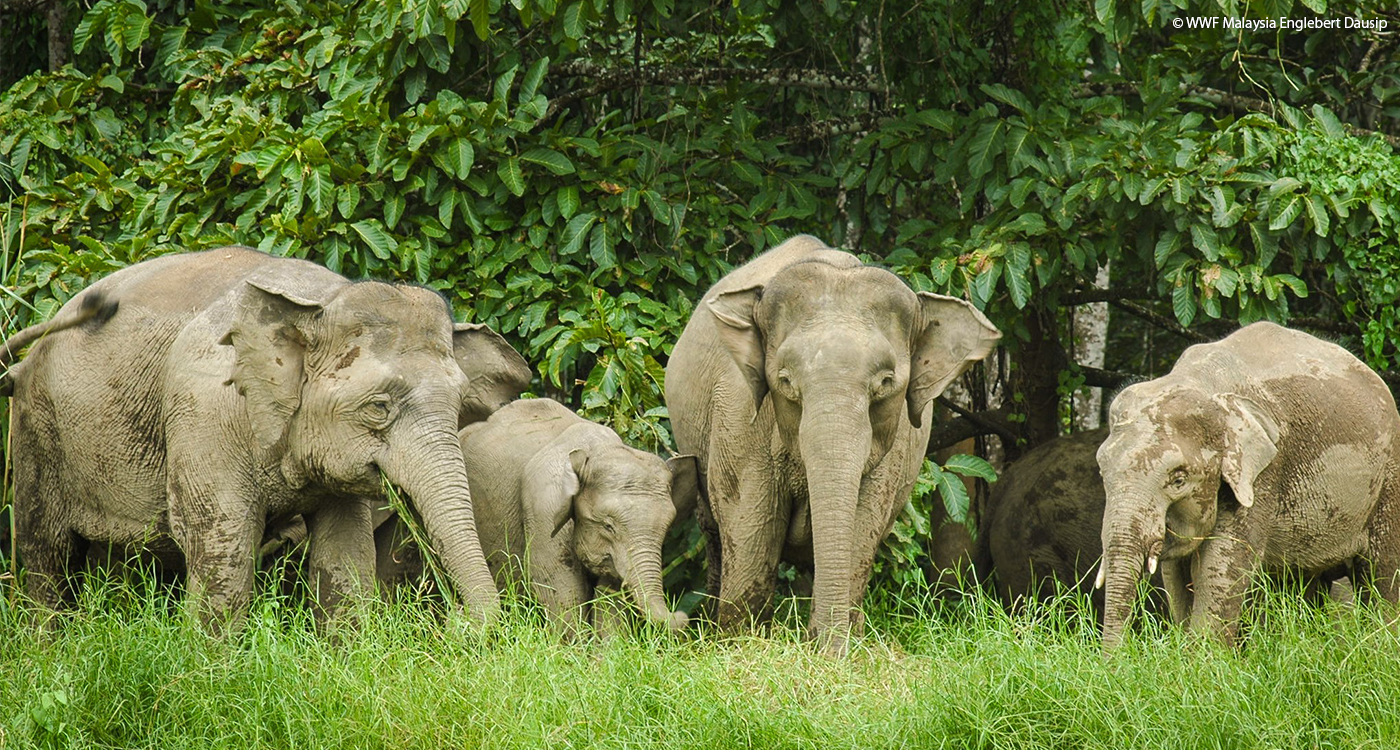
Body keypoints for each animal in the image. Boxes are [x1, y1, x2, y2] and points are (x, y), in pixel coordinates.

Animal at [4, 246, 529, 626]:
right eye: (379, 407)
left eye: (458, 408)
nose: (455, 619)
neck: (317, 303)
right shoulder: (205, 413)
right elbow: (224, 551)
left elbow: (345, 556)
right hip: (35, 429)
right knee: (46, 554)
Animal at [663, 235, 1002, 654]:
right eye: (785, 380)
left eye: (886, 382)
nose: (822, 643)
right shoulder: (740, 416)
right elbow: (749, 522)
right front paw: (741, 643)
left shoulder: (897, 444)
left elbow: (862, 522)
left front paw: (838, 648)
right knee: (714, 532)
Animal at [1092, 321, 1400, 649]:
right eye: (1102, 471)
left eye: (1178, 480)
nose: (1115, 659)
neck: (1201, 384)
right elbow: (1175, 574)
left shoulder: (1262, 473)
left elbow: (1219, 567)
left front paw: (1203, 655)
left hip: (1389, 479)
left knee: (1382, 574)